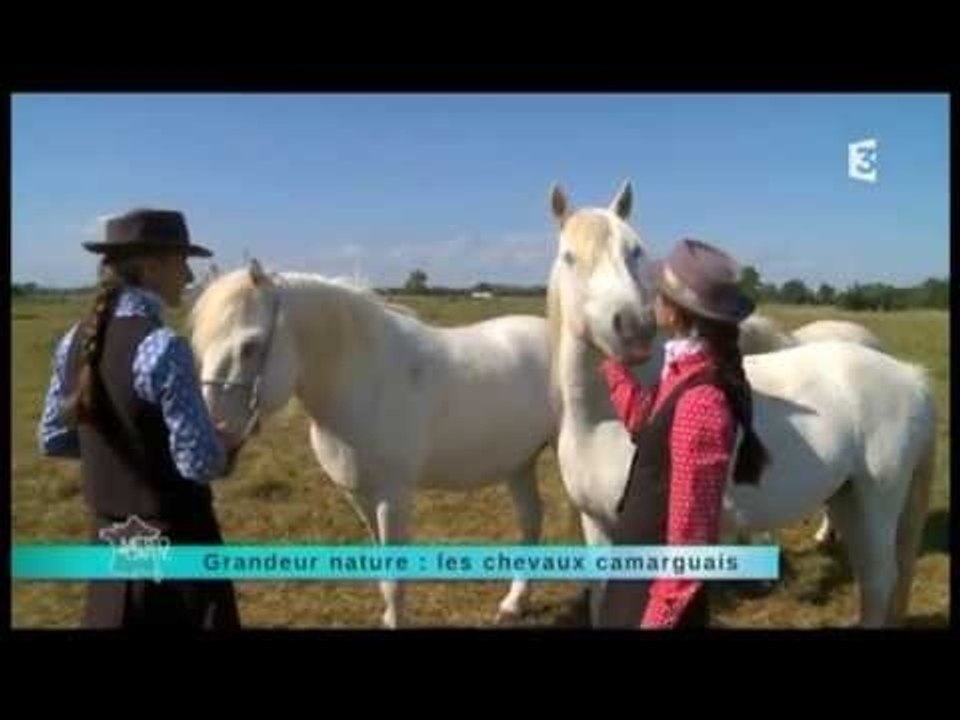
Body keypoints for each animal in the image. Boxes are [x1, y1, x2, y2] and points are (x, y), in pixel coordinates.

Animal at [189, 261, 557, 628]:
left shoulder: (392, 499)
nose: (215, 443)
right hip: (519, 464)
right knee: (531, 520)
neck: (365, 380)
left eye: (249, 346)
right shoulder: (360, 497)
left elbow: (394, 580)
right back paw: (514, 603)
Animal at [545, 180, 937, 628]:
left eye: (635, 251)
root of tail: (909, 375)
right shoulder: (598, 526)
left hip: (878, 499)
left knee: (879, 578)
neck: (601, 424)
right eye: (569, 257)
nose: (634, 327)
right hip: (847, 497)